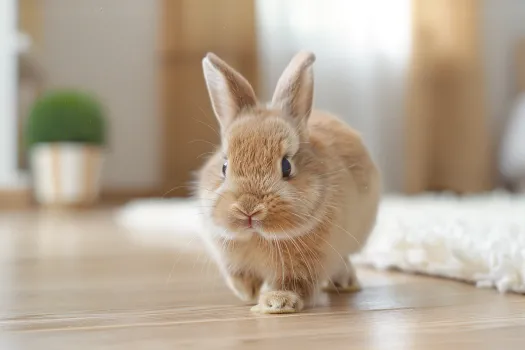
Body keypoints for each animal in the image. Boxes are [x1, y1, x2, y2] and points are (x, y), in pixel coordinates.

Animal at [194, 50, 378, 314]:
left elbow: (293, 283)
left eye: (286, 166)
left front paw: (276, 302)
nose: (248, 209)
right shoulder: (232, 258)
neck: (260, 236)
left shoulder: (305, 265)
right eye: (224, 167)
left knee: (344, 260)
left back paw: (345, 284)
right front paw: (250, 293)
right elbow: (240, 277)